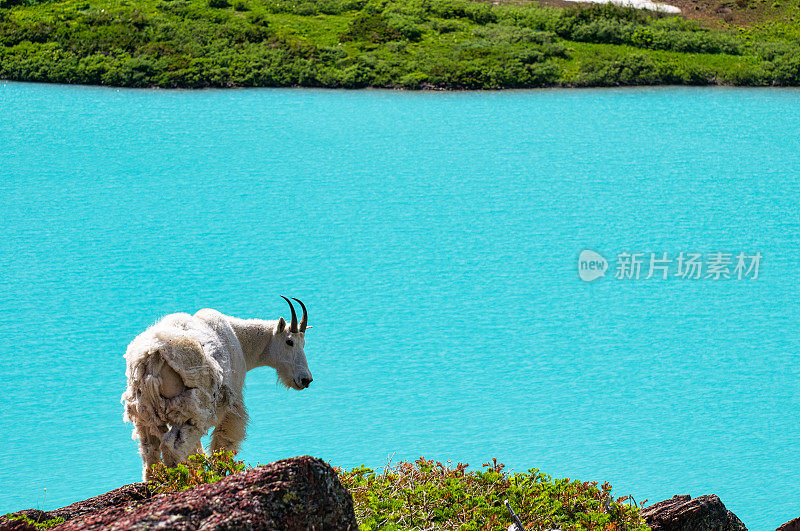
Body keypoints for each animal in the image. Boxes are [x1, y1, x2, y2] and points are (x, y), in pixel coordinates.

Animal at [120, 298, 310, 480]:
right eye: (290, 341)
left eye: (304, 343)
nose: (306, 379)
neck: (241, 340)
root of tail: (152, 358)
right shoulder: (232, 404)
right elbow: (224, 442)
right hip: (192, 409)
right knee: (171, 445)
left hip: (145, 414)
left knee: (149, 451)